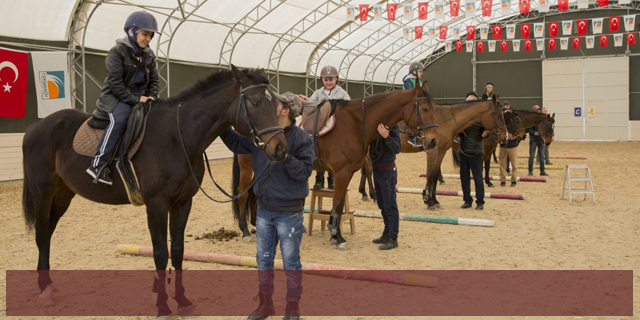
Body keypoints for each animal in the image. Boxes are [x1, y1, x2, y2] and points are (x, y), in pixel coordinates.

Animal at [230, 82, 440, 248]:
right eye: (424, 109)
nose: (433, 141)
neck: (356, 122)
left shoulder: (348, 173)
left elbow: (337, 205)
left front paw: (334, 232)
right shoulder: (342, 172)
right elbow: (338, 204)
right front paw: (337, 237)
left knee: (253, 193)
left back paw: (256, 224)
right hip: (247, 166)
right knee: (242, 194)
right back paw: (245, 231)